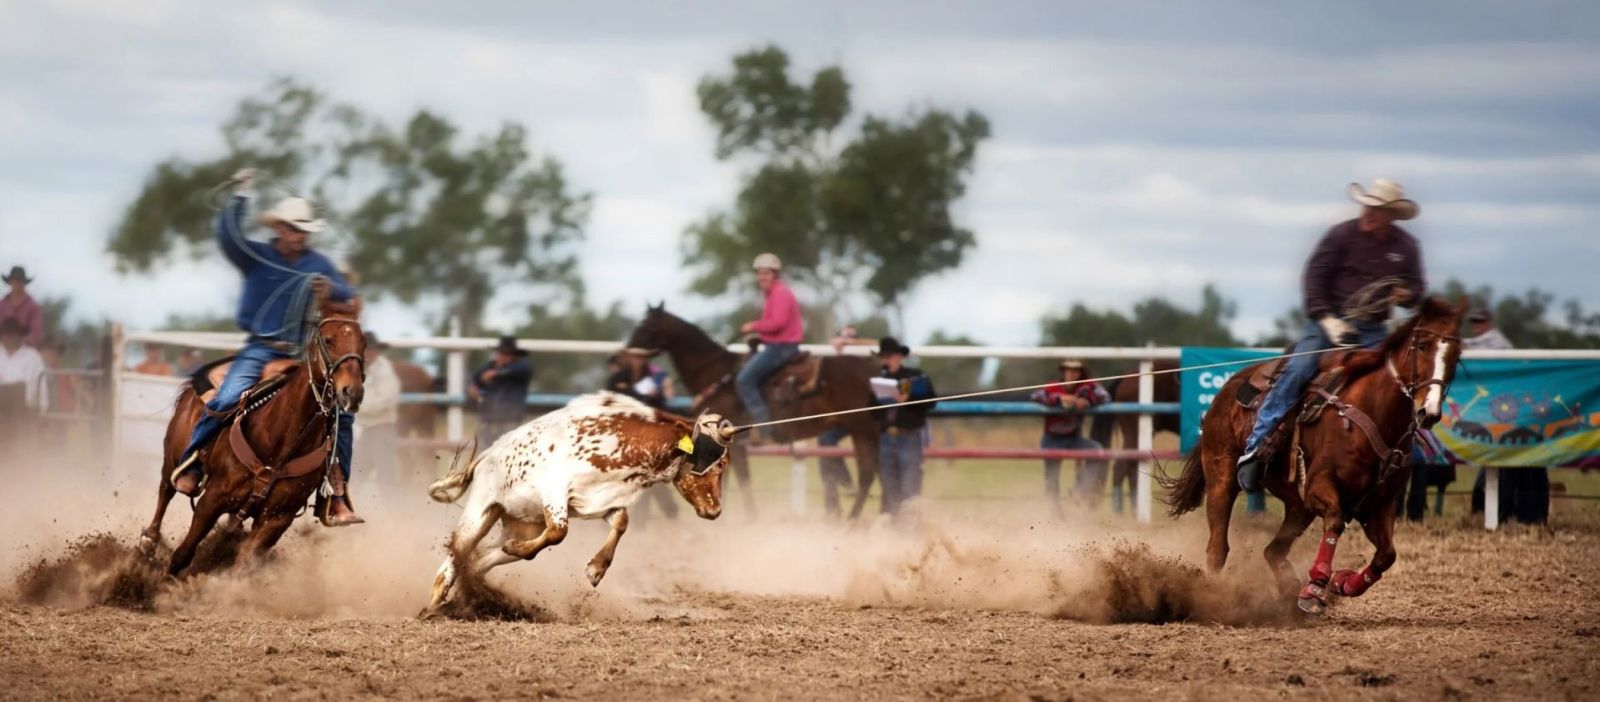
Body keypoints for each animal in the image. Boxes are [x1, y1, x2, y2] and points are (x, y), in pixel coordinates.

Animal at [422, 392, 736, 615]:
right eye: (719, 462)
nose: (715, 510)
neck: (620, 442)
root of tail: (486, 455)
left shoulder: (602, 500)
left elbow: (621, 522)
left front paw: (597, 568)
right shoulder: (554, 493)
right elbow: (559, 531)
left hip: (521, 523)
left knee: (481, 559)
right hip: (481, 512)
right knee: (456, 555)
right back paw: (434, 604)